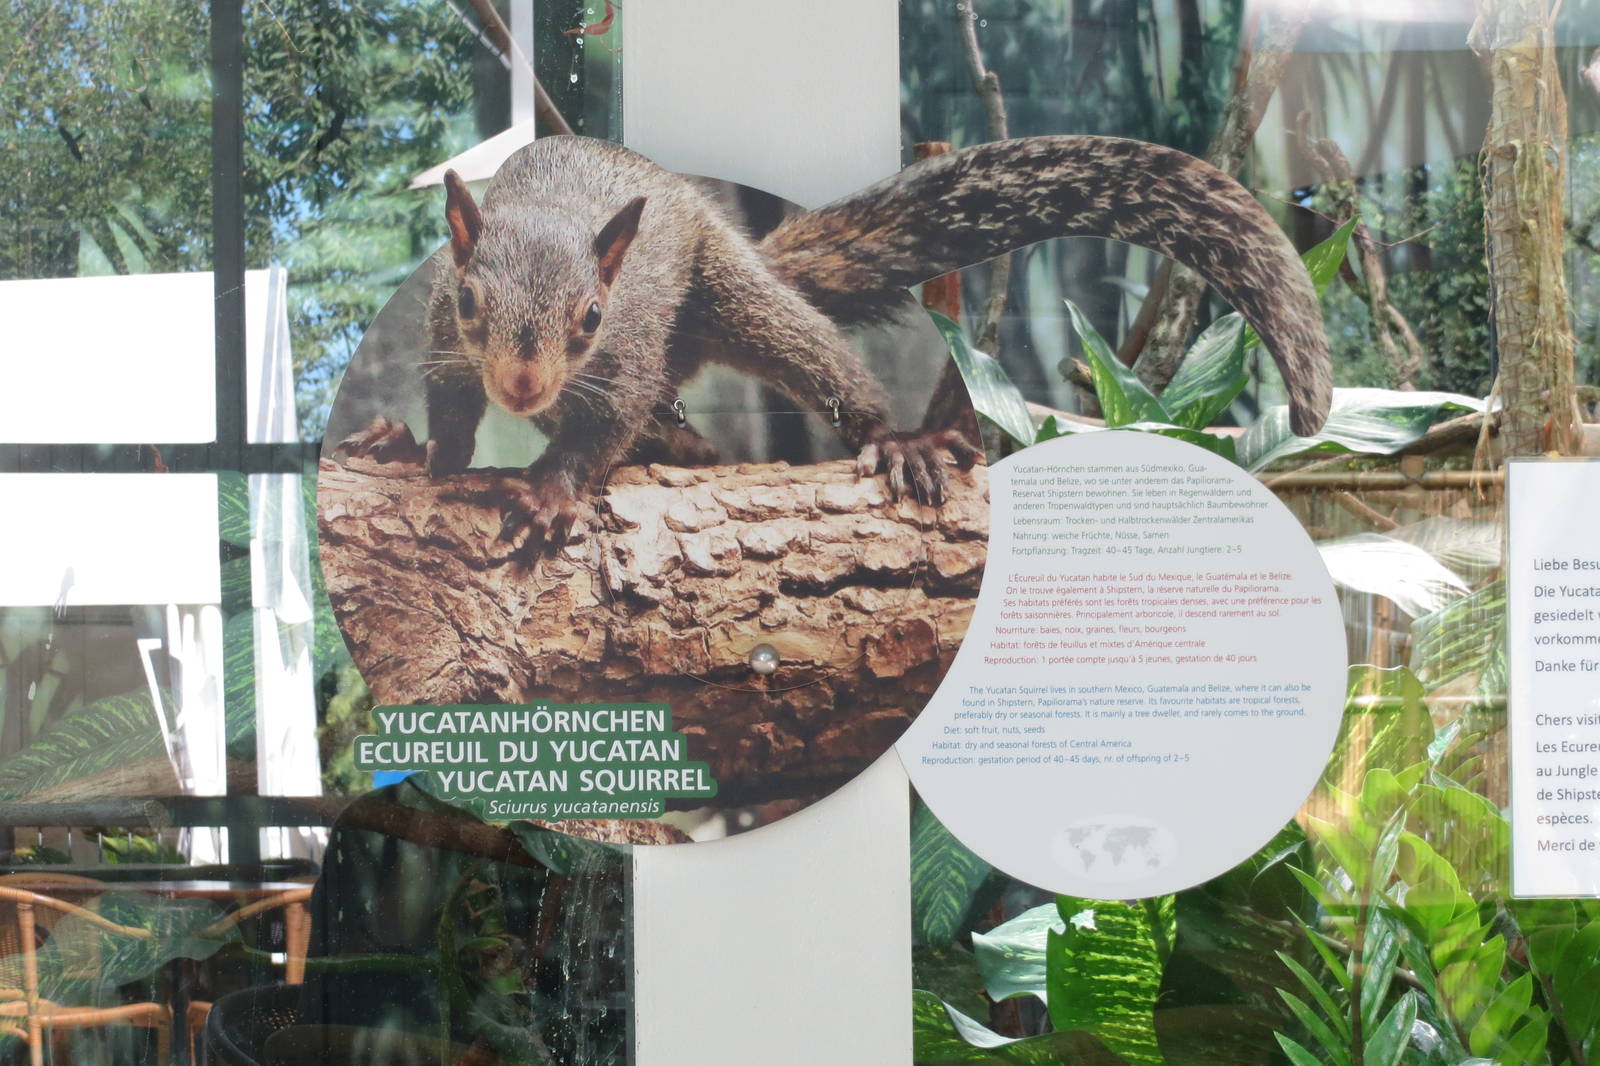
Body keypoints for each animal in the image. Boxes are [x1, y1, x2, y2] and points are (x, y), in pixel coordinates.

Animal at [339, 134, 1331, 547]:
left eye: (590, 316)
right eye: (472, 298)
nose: (522, 385)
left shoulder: (622, 358)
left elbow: (600, 431)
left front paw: (553, 493)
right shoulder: (444, 342)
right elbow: (453, 426)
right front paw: (418, 452)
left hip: (732, 295)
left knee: (807, 358)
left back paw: (893, 442)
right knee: (678, 442)